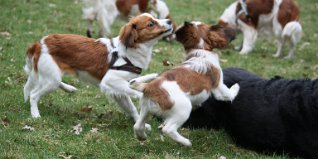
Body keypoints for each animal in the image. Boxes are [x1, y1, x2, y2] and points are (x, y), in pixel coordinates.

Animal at [23, 13, 174, 124]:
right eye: (151, 24)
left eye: (155, 18)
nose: (170, 21)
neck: (129, 51)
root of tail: (39, 43)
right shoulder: (110, 81)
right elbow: (135, 91)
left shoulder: (118, 91)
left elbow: (131, 107)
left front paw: (140, 124)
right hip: (51, 78)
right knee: (34, 94)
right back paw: (35, 115)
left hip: (52, 76)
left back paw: (69, 88)